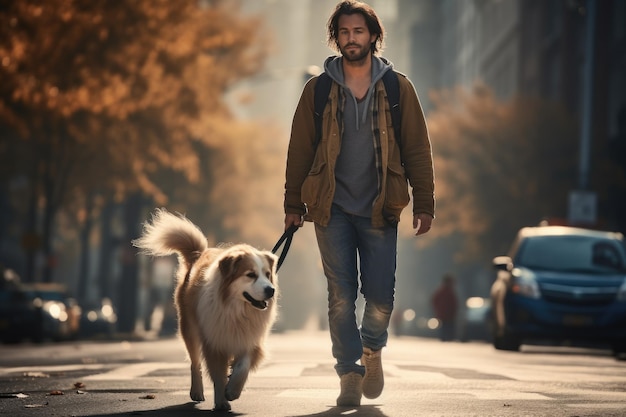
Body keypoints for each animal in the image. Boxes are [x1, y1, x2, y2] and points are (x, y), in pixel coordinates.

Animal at [133, 208, 280, 410]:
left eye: (267, 274)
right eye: (250, 275)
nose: (270, 290)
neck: (237, 311)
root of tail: (198, 255)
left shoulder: (250, 340)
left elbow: (243, 367)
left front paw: (233, 390)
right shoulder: (214, 342)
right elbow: (217, 375)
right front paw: (222, 401)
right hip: (190, 330)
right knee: (195, 363)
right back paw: (197, 392)